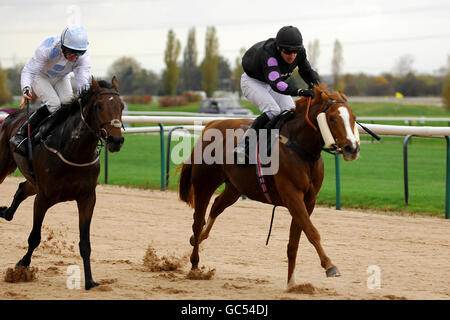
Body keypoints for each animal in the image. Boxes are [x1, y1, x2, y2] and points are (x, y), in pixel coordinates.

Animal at [0, 77, 125, 290]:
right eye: (99, 106)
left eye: (122, 106)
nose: (116, 140)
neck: (74, 150)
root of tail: (10, 116)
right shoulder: (43, 198)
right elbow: (34, 237)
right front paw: (22, 264)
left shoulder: (87, 198)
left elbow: (85, 243)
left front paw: (90, 280)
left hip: (34, 180)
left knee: (22, 189)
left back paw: (5, 212)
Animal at [178, 84, 360, 288]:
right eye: (332, 118)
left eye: (353, 118)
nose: (352, 148)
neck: (299, 146)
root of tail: (210, 125)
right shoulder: (292, 195)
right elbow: (312, 231)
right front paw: (330, 266)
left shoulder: (309, 200)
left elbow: (294, 241)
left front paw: (291, 284)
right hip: (204, 184)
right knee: (197, 221)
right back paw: (194, 265)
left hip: (235, 187)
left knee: (216, 206)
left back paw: (201, 237)